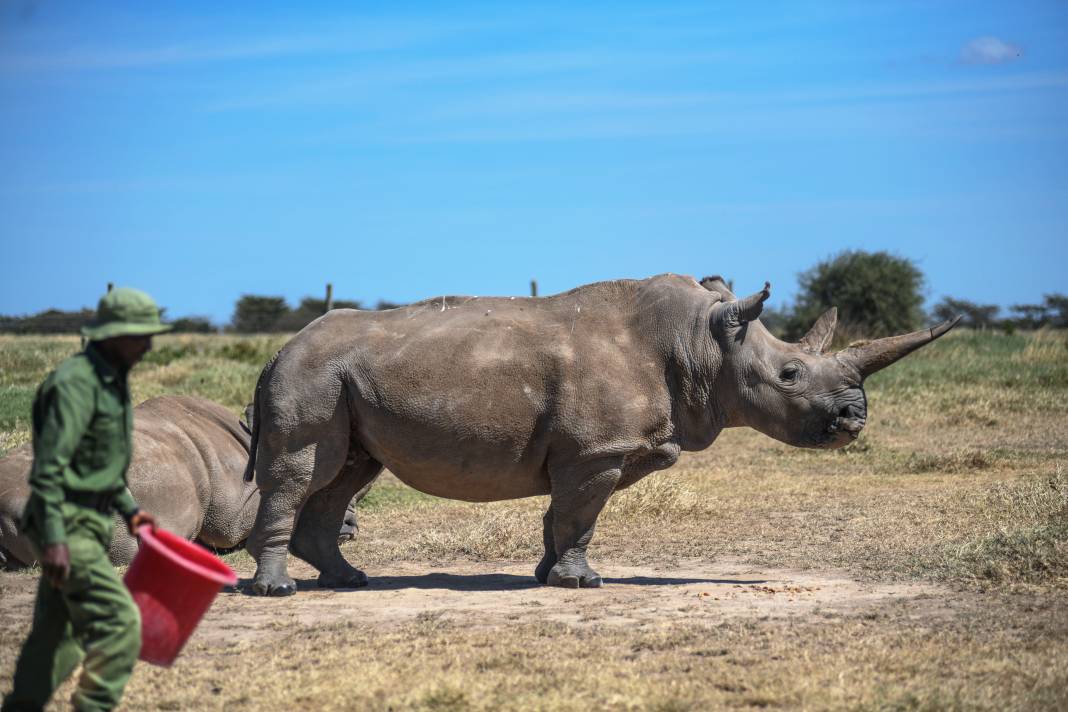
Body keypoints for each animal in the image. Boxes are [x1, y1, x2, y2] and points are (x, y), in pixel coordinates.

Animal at [245, 273, 965, 597]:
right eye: (790, 374)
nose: (853, 420)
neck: (704, 345)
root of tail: (278, 349)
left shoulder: (592, 450)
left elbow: (563, 515)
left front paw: (547, 575)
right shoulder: (597, 450)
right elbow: (580, 514)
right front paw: (582, 583)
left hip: (341, 378)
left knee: (348, 473)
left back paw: (349, 580)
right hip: (312, 374)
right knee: (304, 469)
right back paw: (279, 590)